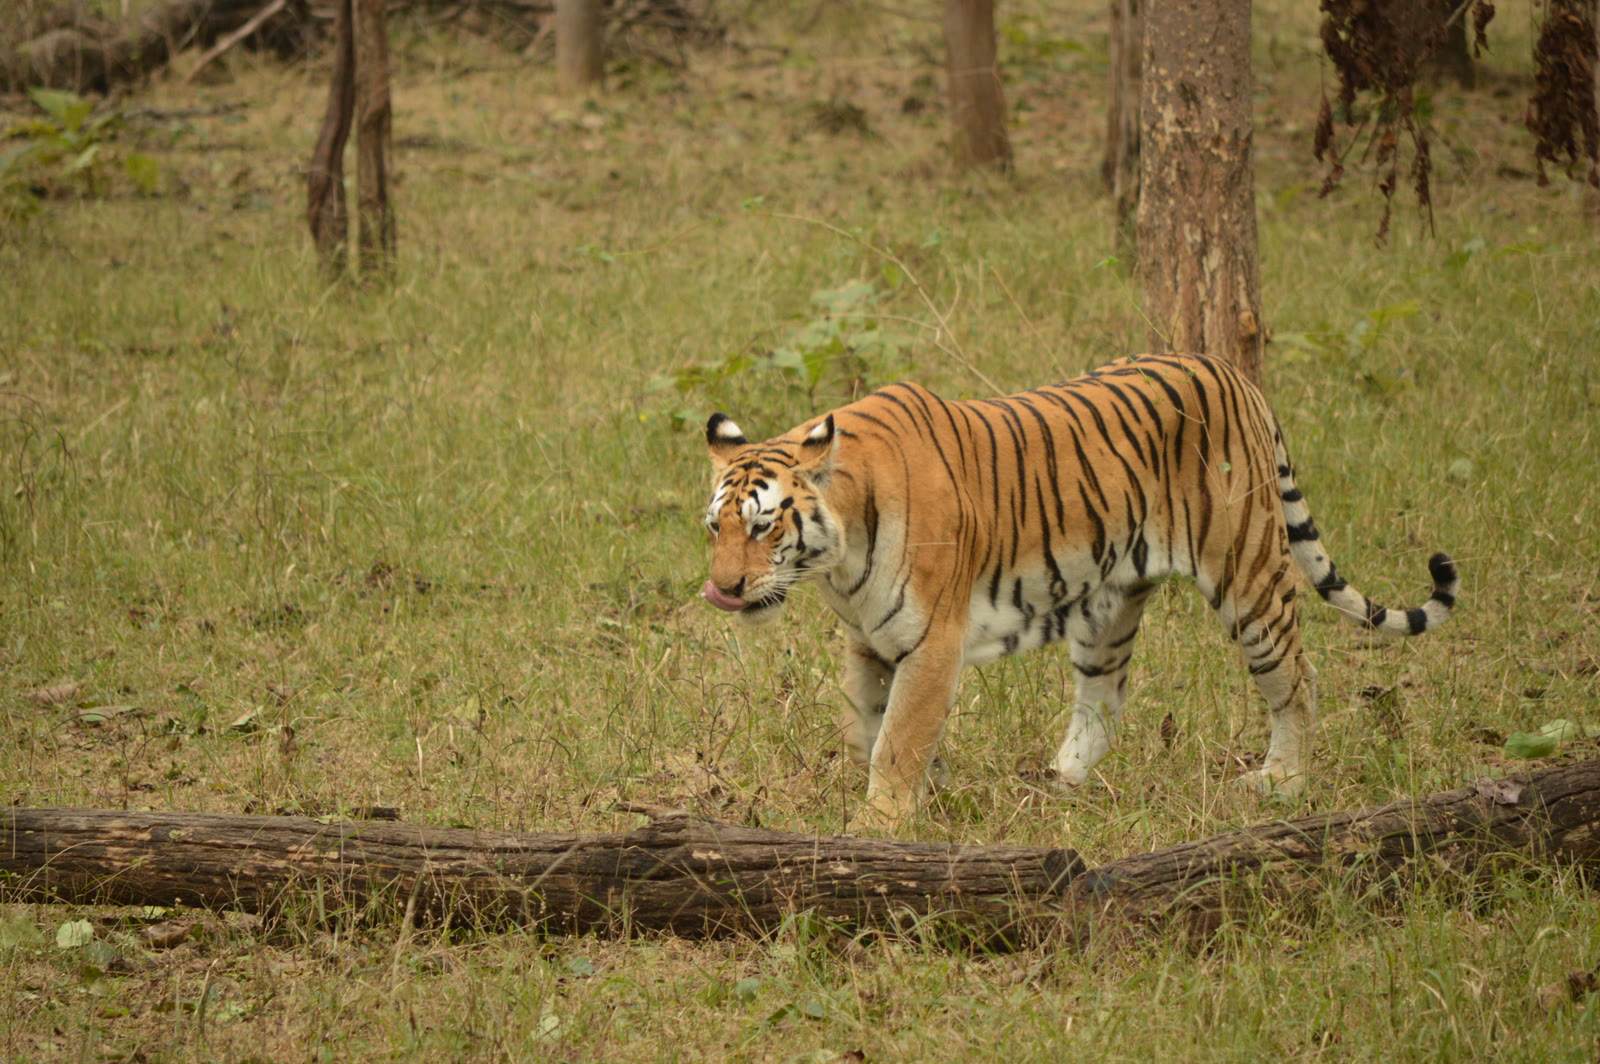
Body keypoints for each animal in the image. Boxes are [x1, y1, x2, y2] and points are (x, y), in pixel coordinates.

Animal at [699, 353, 1458, 831]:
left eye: (764, 526)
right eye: (715, 527)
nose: (722, 589)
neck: (839, 556)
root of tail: (1232, 373)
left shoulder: (932, 641)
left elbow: (897, 738)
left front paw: (878, 824)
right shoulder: (868, 640)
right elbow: (865, 724)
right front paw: (923, 796)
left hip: (1251, 580)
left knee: (1298, 676)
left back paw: (1283, 782)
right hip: (1108, 608)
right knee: (1107, 697)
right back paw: (1058, 782)